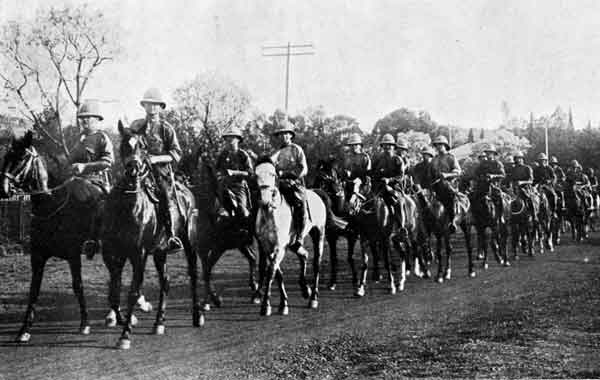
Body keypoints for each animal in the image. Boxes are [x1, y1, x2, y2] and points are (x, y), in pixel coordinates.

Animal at [0, 131, 94, 342]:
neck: (52, 207)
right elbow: (33, 290)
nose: (3, 188)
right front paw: (24, 329)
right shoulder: (38, 257)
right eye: (6, 156)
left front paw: (85, 323)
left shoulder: (74, 256)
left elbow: (78, 286)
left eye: (21, 157)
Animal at [105, 122, 202, 350]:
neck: (129, 207)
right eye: (124, 144)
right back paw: (159, 323)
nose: (133, 168)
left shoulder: (138, 254)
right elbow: (114, 291)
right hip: (160, 252)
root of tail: (187, 190)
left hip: (189, 244)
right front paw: (122, 319)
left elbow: (132, 292)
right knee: (165, 282)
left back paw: (197, 315)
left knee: (193, 275)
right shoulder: (116, 254)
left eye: (143, 145)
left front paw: (125, 335)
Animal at [254, 156, 328, 316]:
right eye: (256, 175)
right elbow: (278, 273)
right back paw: (305, 289)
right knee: (304, 255)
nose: (265, 200)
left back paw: (313, 298)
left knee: (317, 264)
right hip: (294, 243)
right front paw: (283, 303)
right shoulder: (267, 248)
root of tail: (317, 193)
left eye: (273, 174)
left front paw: (266, 305)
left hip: (318, 233)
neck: (271, 215)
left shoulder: (279, 248)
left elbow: (271, 272)